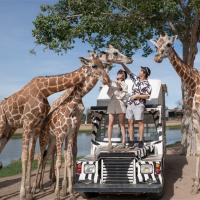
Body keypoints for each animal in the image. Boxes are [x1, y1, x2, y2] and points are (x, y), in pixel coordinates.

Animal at [0, 63, 97, 200]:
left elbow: (68, 153)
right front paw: (25, 192)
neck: (44, 90)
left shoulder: (65, 128)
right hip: (5, 126)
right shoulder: (28, 124)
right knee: (44, 155)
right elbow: (26, 157)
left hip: (8, 131)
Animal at [151, 34, 200, 194]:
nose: (157, 58)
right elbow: (198, 150)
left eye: (168, 44)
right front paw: (196, 184)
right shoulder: (195, 117)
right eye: (156, 46)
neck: (194, 82)